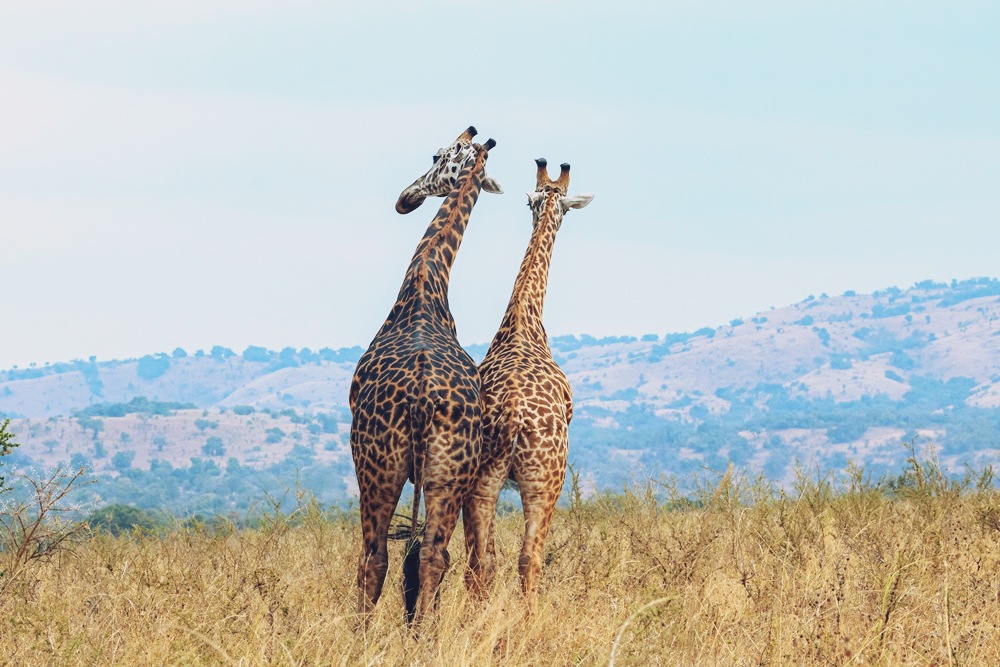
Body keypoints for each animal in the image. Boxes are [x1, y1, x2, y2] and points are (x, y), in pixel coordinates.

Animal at [350, 126, 502, 629]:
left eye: (435, 156)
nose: (405, 198)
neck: (425, 279)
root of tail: (419, 397)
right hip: (448, 474)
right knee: (435, 555)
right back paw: (425, 635)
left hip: (374, 467)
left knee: (374, 557)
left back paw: (360, 636)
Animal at [463, 158, 593, 602]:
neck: (523, 320)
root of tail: (515, 416)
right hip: (545, 482)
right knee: (528, 559)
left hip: (481, 480)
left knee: (479, 563)